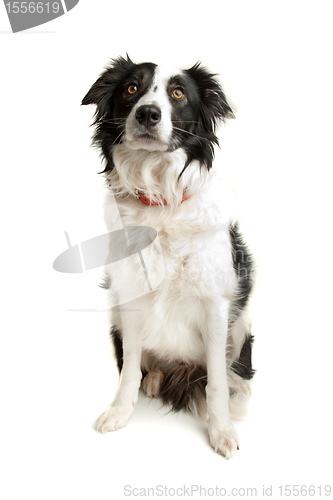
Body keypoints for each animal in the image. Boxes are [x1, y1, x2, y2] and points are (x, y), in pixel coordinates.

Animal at [81, 54, 253, 458]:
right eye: (132, 88)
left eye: (178, 93)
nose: (147, 113)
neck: (161, 202)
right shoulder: (129, 297)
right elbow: (129, 367)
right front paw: (120, 412)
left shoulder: (216, 304)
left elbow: (216, 380)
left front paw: (221, 431)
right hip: (115, 317)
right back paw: (156, 379)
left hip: (241, 323)